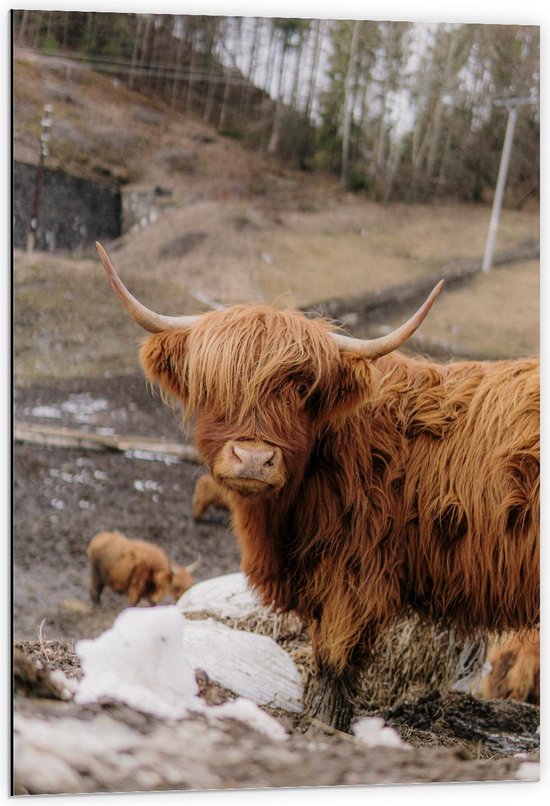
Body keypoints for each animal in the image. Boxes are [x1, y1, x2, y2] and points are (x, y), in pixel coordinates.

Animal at [97, 241, 540, 732]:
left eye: (300, 389)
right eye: (215, 384)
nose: (254, 459)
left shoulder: (352, 572)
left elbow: (334, 658)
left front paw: (325, 723)